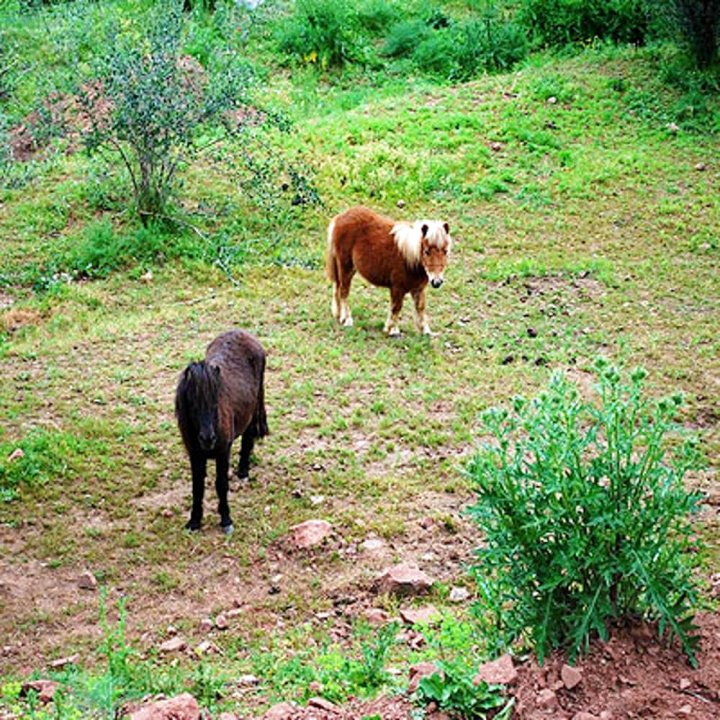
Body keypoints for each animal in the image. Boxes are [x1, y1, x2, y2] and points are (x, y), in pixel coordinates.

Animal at [176, 332, 268, 536]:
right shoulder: (195, 455)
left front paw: (226, 520)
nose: (208, 438)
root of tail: (242, 333)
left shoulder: (222, 452)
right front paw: (194, 521)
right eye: (192, 404)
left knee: (248, 437)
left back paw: (243, 471)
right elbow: (197, 487)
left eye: (216, 402)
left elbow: (221, 484)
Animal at [328, 205, 456, 334]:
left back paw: (339, 315)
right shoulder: (397, 288)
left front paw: (426, 331)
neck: (409, 258)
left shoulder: (418, 289)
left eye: (445, 251)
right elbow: (396, 308)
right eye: (426, 251)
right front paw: (392, 330)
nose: (437, 282)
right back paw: (347, 320)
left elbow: (420, 307)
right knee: (343, 292)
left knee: (338, 289)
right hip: (345, 267)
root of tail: (340, 217)